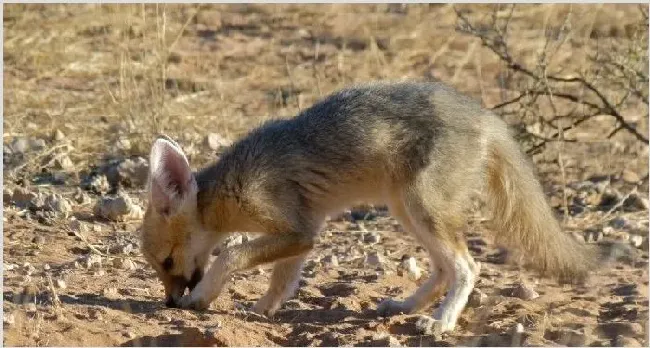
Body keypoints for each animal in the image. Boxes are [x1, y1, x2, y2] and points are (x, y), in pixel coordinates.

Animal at [139, 80, 596, 334]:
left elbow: (229, 255)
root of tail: (487, 117)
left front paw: (203, 296)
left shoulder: (295, 229)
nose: (169, 303)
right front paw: (263, 309)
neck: (227, 189)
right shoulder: (305, 231)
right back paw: (407, 307)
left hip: (421, 209)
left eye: (167, 262)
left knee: (467, 267)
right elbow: (283, 280)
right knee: (443, 269)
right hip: (407, 211)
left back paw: (442, 322)